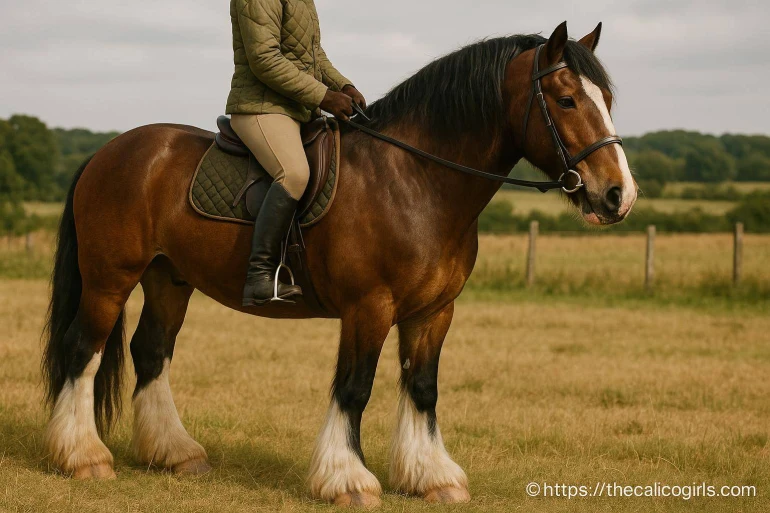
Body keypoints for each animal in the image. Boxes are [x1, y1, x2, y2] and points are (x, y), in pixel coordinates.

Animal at [41, 21, 636, 507]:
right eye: (565, 100)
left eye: (606, 97)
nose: (618, 195)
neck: (415, 181)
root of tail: (108, 152)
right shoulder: (368, 307)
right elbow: (354, 387)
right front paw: (348, 479)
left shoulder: (434, 312)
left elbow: (422, 387)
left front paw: (432, 476)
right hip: (110, 279)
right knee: (83, 350)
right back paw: (84, 457)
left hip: (170, 280)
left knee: (151, 353)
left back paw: (175, 453)